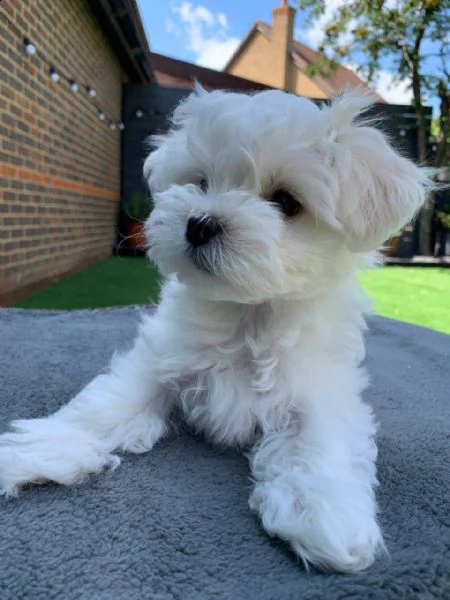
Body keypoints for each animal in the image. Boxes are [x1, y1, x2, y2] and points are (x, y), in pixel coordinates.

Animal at [0, 88, 428, 572]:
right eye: (201, 182)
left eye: (287, 202)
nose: (199, 222)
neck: (247, 313)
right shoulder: (160, 359)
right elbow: (107, 403)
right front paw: (39, 450)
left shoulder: (319, 387)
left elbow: (320, 441)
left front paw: (322, 512)